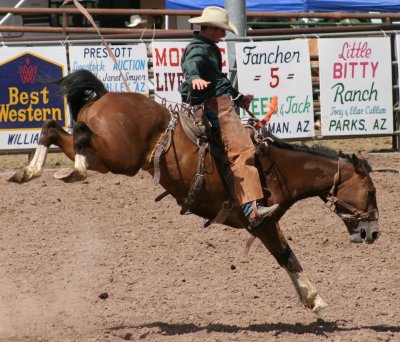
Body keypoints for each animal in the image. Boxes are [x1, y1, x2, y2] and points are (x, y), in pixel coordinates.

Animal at [7, 69, 380, 316]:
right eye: (371, 192)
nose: (373, 233)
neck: (276, 167)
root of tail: (105, 96)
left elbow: (287, 256)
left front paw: (312, 299)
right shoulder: (261, 221)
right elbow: (287, 255)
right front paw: (315, 299)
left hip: (107, 155)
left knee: (53, 129)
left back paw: (28, 172)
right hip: (117, 156)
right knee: (76, 137)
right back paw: (71, 171)